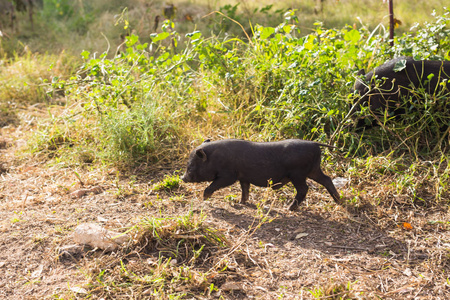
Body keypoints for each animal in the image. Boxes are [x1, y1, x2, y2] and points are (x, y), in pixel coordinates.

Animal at [181, 139, 340, 211]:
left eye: (191, 165)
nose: (183, 178)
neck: (215, 158)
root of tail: (313, 144)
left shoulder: (229, 175)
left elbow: (214, 185)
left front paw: (204, 198)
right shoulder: (243, 177)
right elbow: (245, 190)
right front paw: (240, 203)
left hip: (298, 174)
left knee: (303, 189)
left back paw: (289, 208)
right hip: (314, 170)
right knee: (327, 179)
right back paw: (339, 201)